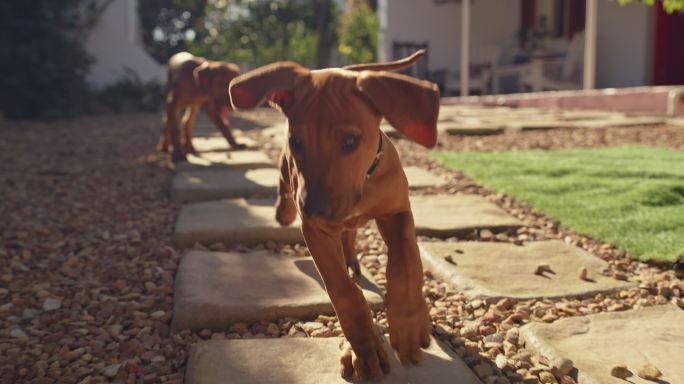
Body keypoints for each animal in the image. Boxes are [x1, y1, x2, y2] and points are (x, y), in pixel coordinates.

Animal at [230, 51, 438, 380]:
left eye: (351, 141)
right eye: (297, 141)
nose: (313, 208)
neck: (365, 181)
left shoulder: (398, 212)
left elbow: (406, 264)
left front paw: (408, 324)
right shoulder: (317, 232)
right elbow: (344, 290)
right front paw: (363, 348)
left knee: (351, 235)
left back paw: (352, 258)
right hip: (289, 179)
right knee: (287, 190)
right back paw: (285, 211)